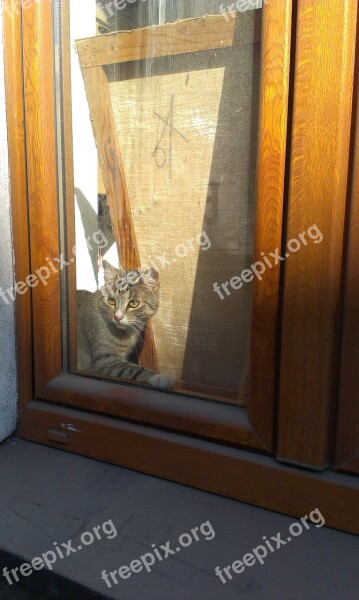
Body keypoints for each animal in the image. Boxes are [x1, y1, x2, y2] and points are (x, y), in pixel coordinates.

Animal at [77, 262, 174, 392]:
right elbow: (133, 369)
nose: (118, 317)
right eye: (111, 300)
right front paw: (159, 377)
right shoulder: (106, 360)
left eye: (134, 303)